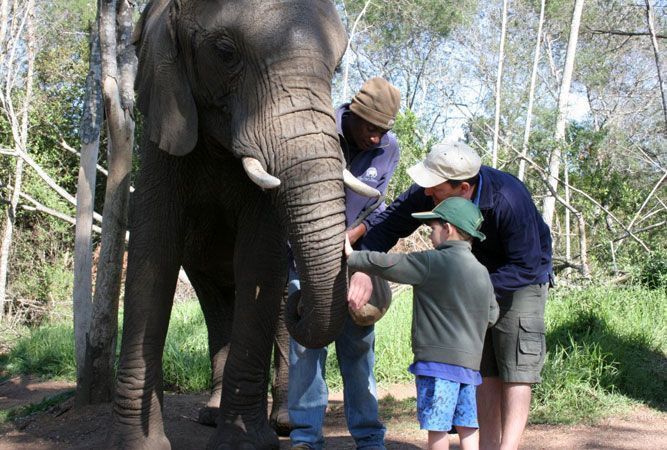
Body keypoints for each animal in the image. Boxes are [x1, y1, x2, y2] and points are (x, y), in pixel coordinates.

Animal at [108, 1, 380, 448]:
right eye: (225, 53)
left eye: (338, 66)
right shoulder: (164, 132)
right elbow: (153, 258)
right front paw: (137, 443)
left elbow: (259, 260)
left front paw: (243, 442)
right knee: (217, 306)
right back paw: (211, 414)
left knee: (271, 310)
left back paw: (282, 423)